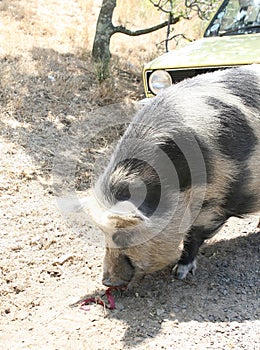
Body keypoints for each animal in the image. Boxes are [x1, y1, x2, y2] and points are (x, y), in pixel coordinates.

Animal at [84, 65, 258, 288]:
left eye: (122, 236)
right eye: (103, 233)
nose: (107, 281)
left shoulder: (215, 200)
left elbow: (194, 235)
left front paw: (180, 273)